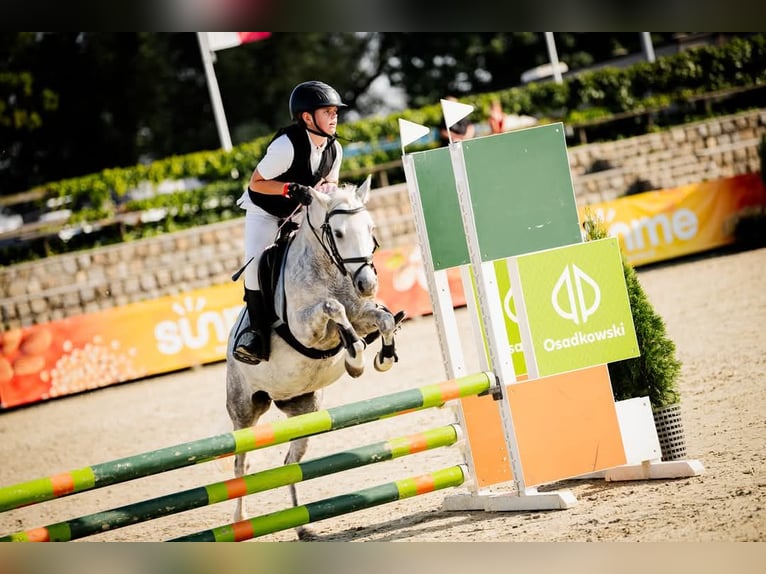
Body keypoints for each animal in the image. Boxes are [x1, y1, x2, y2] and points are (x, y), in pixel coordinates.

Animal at [225, 176, 402, 540]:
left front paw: (382, 356)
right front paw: (355, 356)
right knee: (241, 465)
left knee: (290, 463)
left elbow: (383, 319)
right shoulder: (307, 329)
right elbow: (332, 309)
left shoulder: (362, 313)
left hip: (305, 409)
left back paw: (302, 526)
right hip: (245, 410)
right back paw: (240, 522)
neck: (330, 270)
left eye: (371, 228)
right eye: (339, 234)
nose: (367, 284)